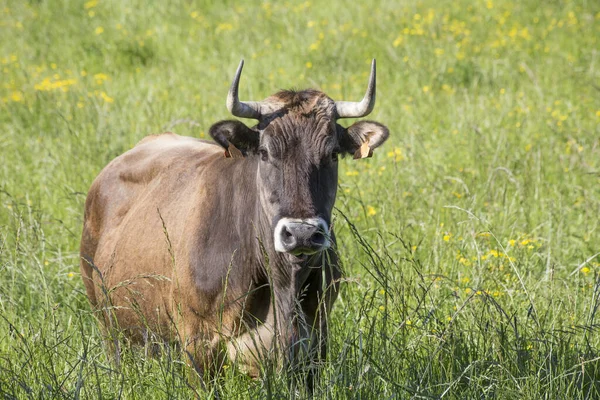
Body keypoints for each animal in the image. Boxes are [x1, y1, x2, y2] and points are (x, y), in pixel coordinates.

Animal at [78, 58, 390, 384]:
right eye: (264, 152)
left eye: (332, 154)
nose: (301, 233)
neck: (283, 286)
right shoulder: (198, 343)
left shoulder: (315, 342)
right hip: (107, 322)